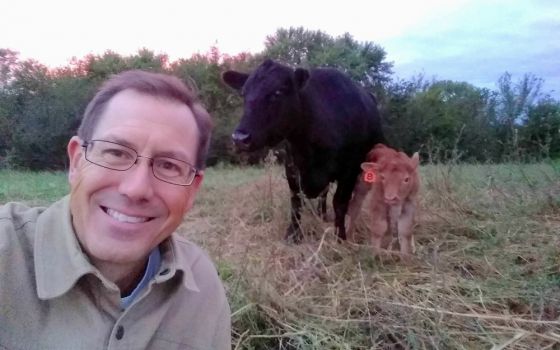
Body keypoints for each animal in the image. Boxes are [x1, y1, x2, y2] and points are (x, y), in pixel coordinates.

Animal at [223, 58, 384, 242]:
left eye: (277, 92)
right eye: (243, 93)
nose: (239, 138)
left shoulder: (349, 170)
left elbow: (340, 203)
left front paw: (340, 237)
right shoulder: (292, 167)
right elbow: (296, 201)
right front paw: (292, 234)